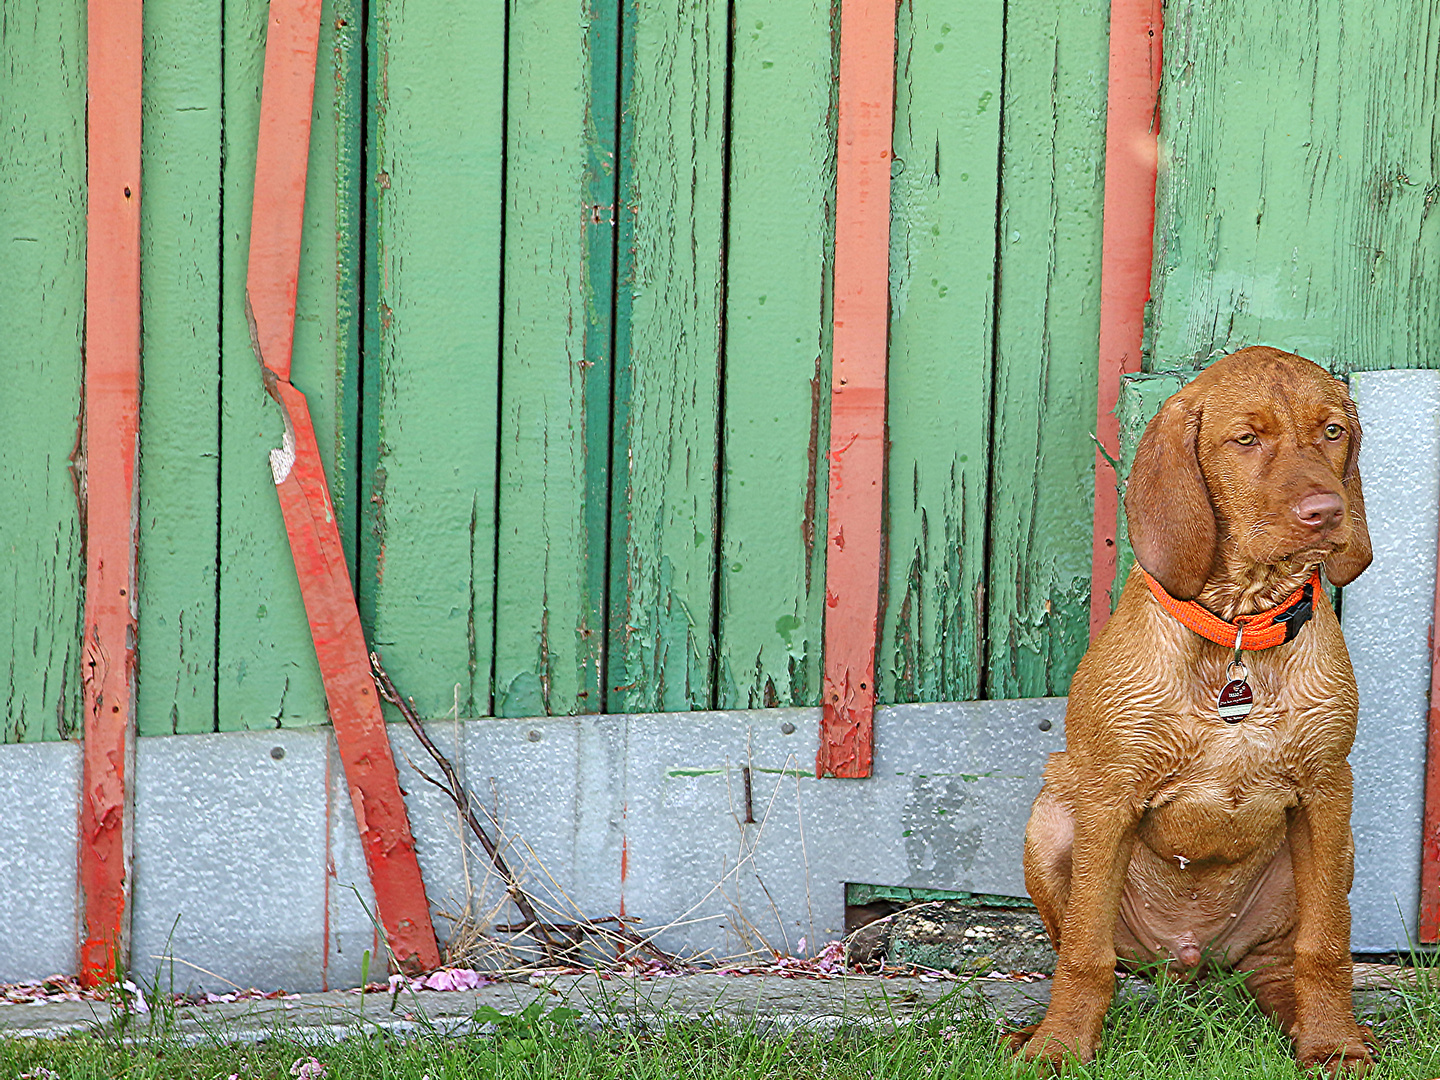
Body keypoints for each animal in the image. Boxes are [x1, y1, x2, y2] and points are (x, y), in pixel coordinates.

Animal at [1013, 348, 1370, 1077]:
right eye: (1247, 439)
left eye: (1332, 432)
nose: (1328, 511)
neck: (1238, 629)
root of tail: (1188, 960)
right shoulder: (1108, 796)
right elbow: (1085, 953)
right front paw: (1060, 1046)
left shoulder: (1326, 791)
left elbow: (1325, 945)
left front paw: (1335, 1043)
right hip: (1051, 818)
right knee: (1099, 952)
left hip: (1332, 854)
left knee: (1280, 959)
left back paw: (1297, 1019)